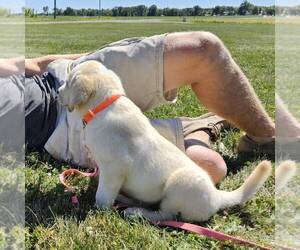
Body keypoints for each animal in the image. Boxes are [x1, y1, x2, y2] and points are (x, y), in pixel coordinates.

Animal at [58, 60, 272, 221]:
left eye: (68, 83)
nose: (58, 91)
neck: (105, 104)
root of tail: (217, 197)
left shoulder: (114, 167)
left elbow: (103, 193)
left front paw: (98, 209)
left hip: (178, 186)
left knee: (166, 215)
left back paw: (136, 212)